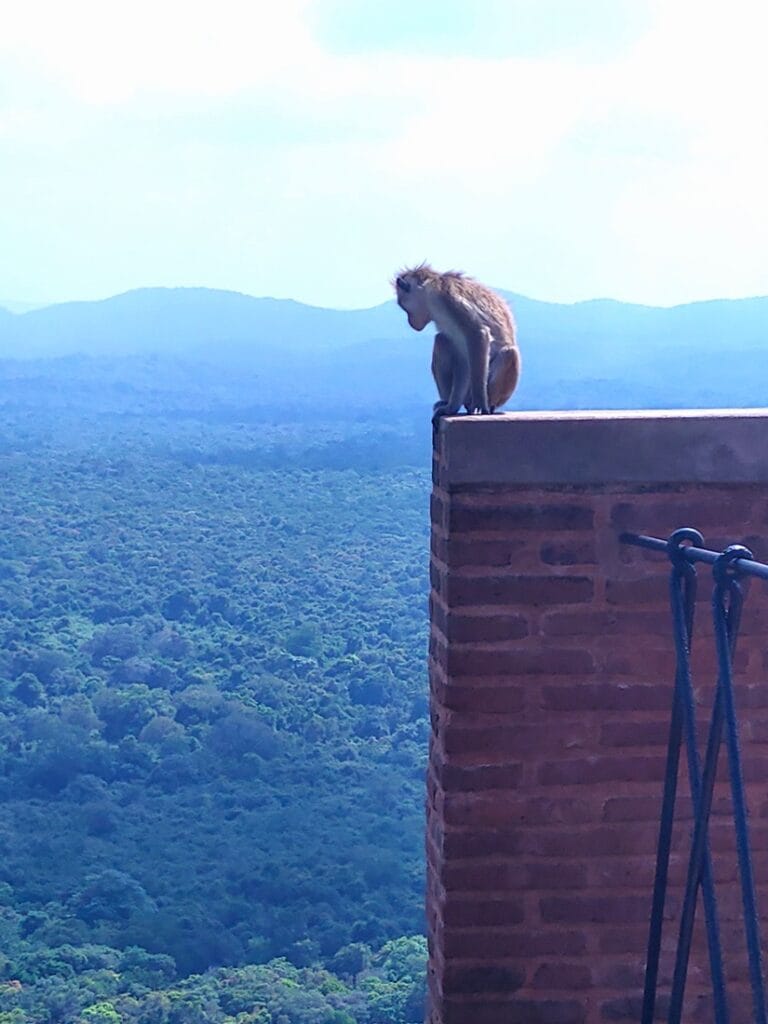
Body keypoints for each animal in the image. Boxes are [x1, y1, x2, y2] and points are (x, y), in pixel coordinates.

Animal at [393, 268, 520, 423]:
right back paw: (448, 402)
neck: (429, 293)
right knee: (442, 340)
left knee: (509, 353)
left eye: (403, 306)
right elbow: (462, 355)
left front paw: (479, 402)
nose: (410, 323)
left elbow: (477, 334)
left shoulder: (448, 299)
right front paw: (451, 408)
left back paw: (485, 405)